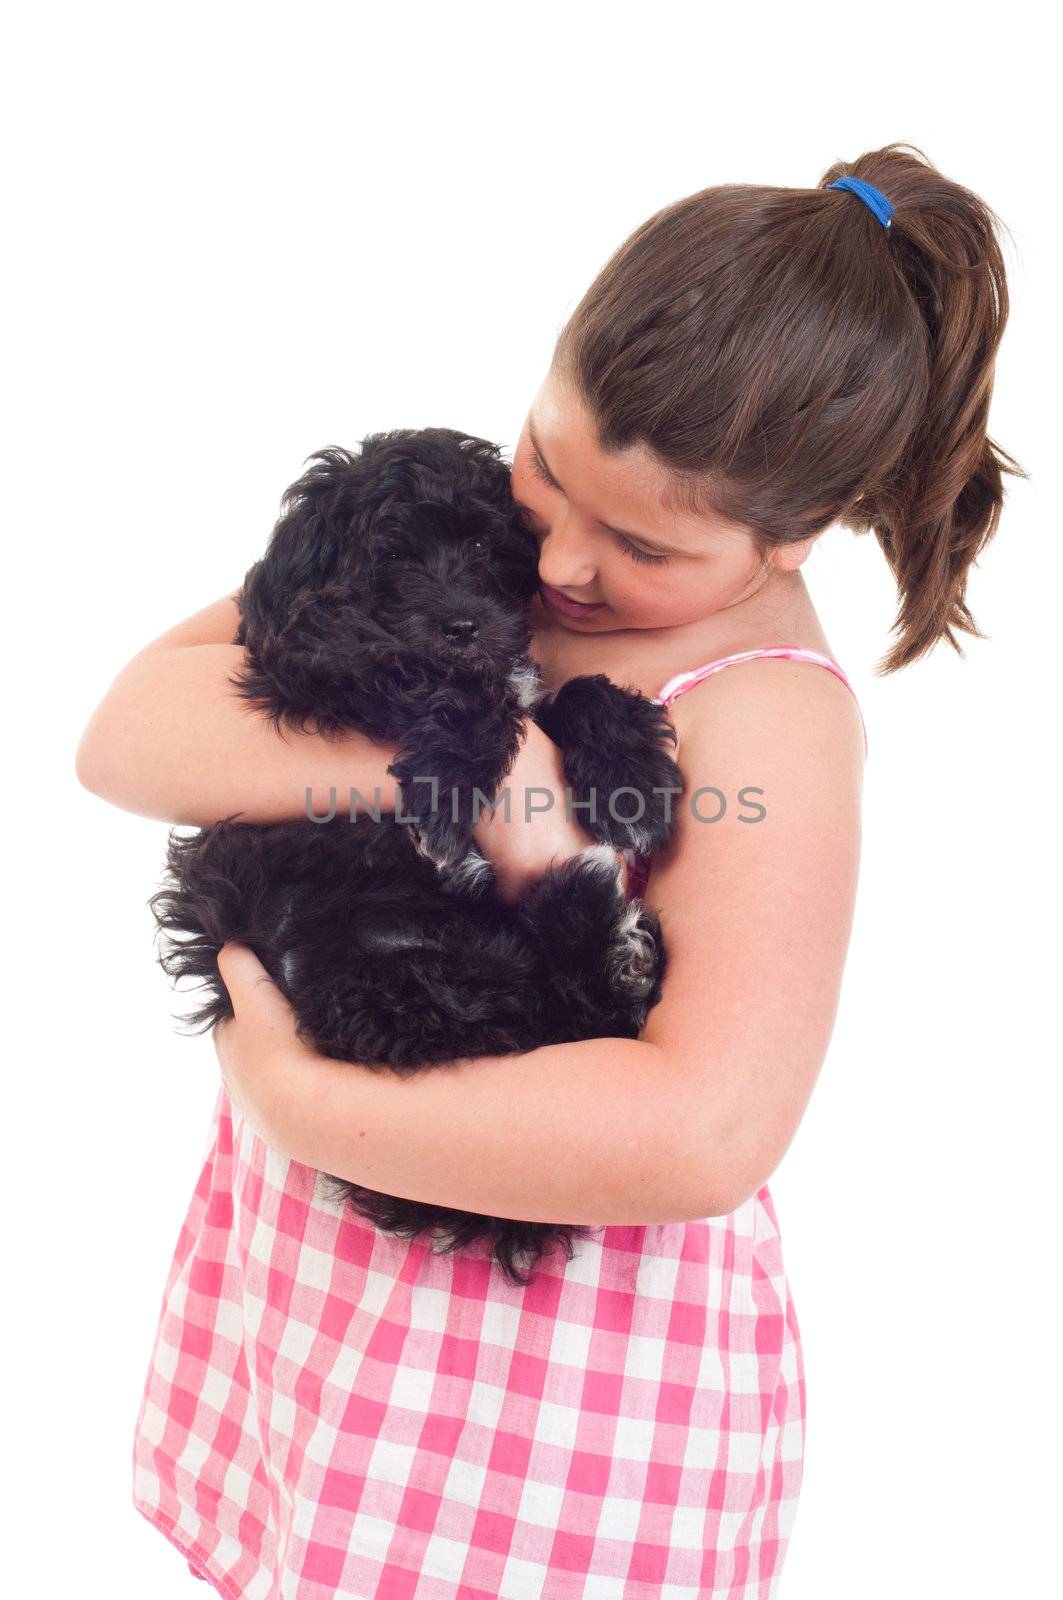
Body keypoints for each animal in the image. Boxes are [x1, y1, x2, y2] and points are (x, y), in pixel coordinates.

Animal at [149, 428, 685, 1286]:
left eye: (485, 548)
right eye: (391, 556)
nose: (463, 624)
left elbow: (561, 695)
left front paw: (629, 771)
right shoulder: (316, 661)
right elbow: (439, 681)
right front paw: (449, 789)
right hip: (373, 974)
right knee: (539, 1001)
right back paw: (599, 923)